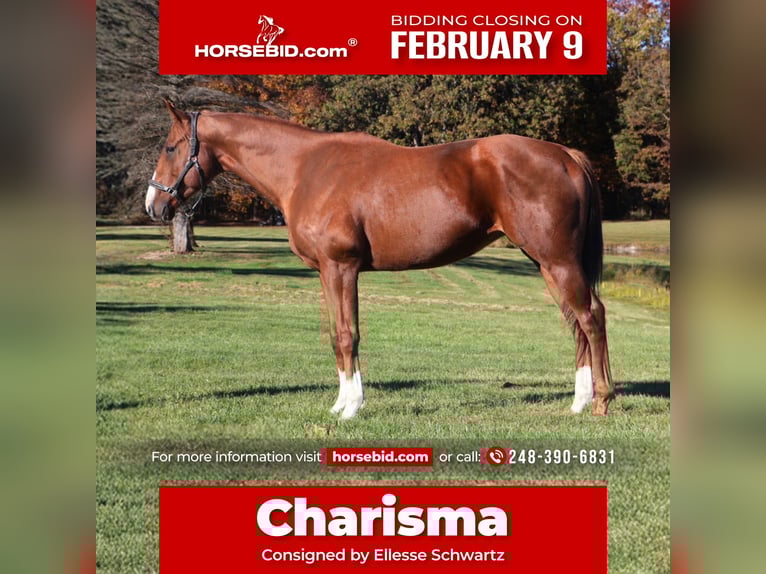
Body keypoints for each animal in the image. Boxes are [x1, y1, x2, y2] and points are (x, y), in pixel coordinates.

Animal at [145, 100, 615, 418]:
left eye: (170, 148)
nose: (154, 205)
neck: (304, 169)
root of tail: (565, 155)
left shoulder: (342, 267)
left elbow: (348, 335)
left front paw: (352, 408)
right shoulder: (327, 273)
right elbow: (337, 336)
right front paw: (340, 404)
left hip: (558, 261)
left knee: (591, 317)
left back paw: (601, 402)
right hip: (546, 263)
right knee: (576, 323)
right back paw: (579, 401)